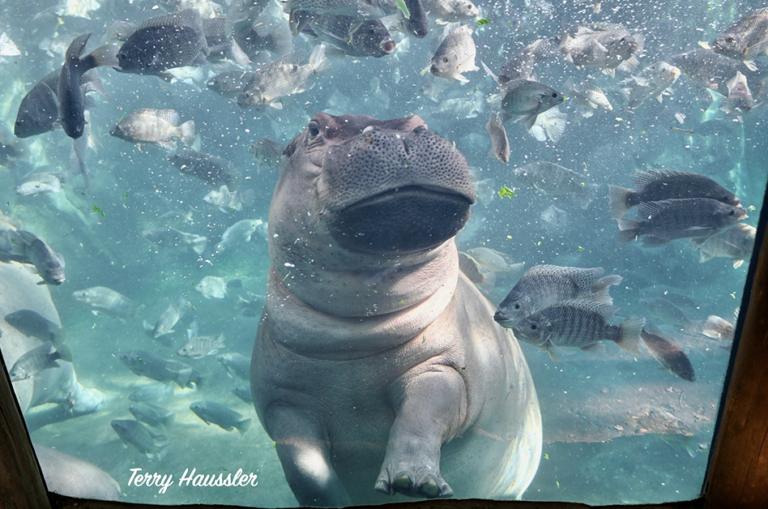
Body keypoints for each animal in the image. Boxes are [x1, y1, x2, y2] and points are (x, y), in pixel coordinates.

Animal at [251, 113, 542, 506]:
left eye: (419, 120)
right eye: (314, 128)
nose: (399, 134)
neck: (357, 334)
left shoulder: (444, 367)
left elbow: (419, 419)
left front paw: (413, 481)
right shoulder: (284, 403)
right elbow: (305, 470)